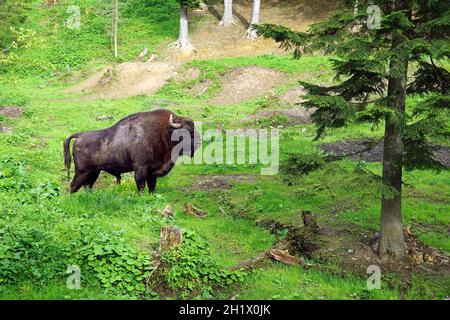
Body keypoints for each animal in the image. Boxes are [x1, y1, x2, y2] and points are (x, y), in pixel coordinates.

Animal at [62, 109, 200, 194]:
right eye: (186, 132)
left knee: (87, 186)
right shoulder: (140, 168)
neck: (163, 133)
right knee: (73, 186)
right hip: (81, 171)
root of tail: (80, 135)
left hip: (94, 172)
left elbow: (152, 186)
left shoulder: (152, 172)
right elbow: (141, 185)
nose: (199, 142)